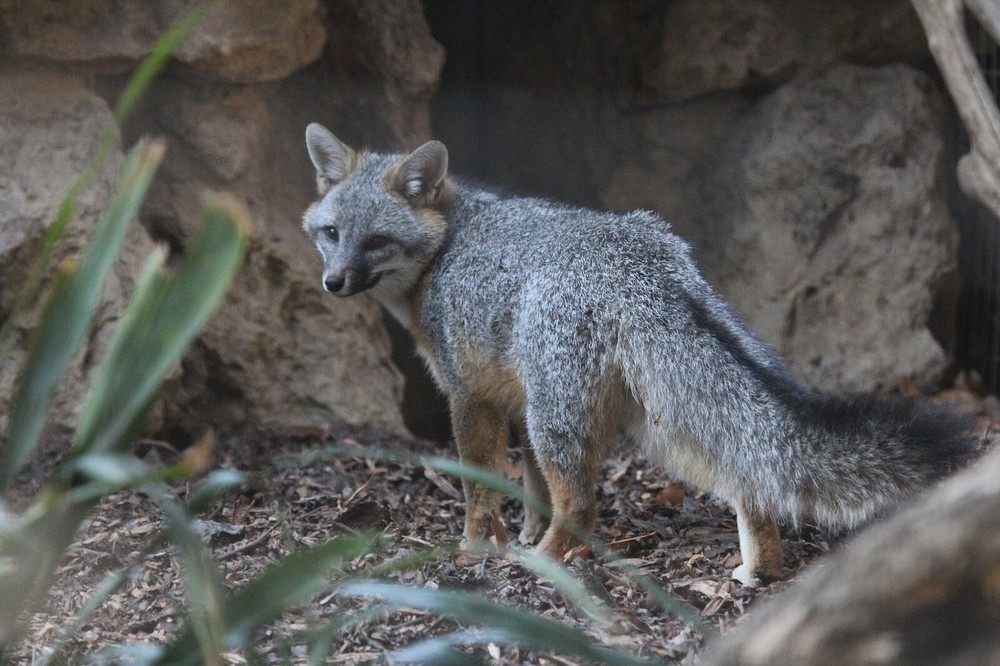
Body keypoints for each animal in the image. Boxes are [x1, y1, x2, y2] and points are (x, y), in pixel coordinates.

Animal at [301, 122, 976, 586]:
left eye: (376, 241)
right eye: (331, 234)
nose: (333, 282)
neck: (447, 244)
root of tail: (640, 254)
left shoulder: (470, 398)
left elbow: (480, 488)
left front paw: (476, 548)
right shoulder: (514, 399)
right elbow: (531, 488)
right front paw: (519, 530)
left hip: (572, 420)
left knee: (583, 504)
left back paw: (544, 564)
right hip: (652, 421)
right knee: (749, 476)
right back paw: (758, 571)